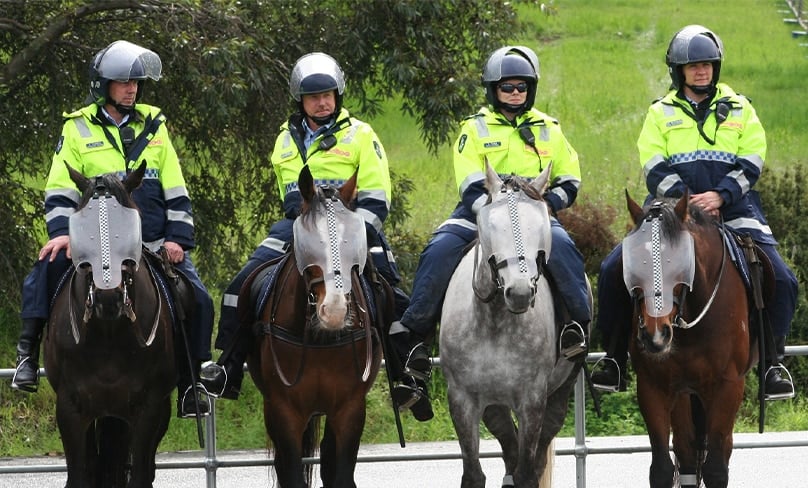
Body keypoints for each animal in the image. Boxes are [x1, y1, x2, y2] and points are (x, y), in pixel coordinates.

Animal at [43, 162, 178, 486]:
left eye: (129, 226)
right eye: (81, 228)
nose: (108, 297)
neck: (108, 334)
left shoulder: (148, 409)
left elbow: (139, 474)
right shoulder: (69, 409)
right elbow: (79, 475)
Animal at [248, 166, 384, 486]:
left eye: (353, 246)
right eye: (309, 245)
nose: (333, 311)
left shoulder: (349, 409)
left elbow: (341, 474)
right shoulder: (283, 411)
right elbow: (292, 474)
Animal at [438, 163, 584, 488]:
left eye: (542, 225)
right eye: (492, 226)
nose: (519, 292)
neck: (493, 321)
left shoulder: (532, 400)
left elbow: (527, 472)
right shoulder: (462, 400)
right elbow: (473, 474)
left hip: (560, 390)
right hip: (494, 405)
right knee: (509, 448)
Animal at [620, 193, 756, 486]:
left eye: (680, 261)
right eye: (633, 259)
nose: (655, 335)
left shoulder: (728, 386)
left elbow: (716, 469)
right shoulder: (653, 386)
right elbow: (661, 468)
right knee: (686, 452)